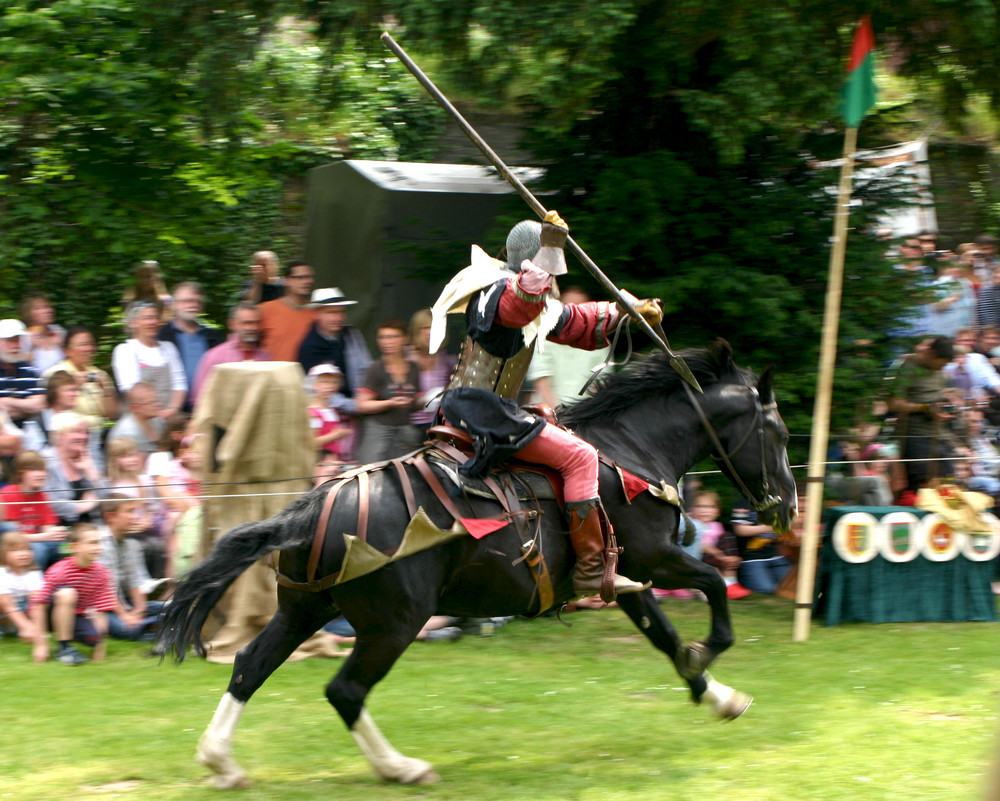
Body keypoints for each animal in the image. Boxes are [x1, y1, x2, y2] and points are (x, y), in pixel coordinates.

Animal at [158, 340, 796, 784]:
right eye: (779, 432)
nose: (788, 506)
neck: (630, 449)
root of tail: (310, 510)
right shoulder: (657, 560)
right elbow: (713, 585)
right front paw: (707, 652)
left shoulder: (628, 576)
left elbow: (664, 636)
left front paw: (715, 694)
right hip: (393, 623)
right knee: (345, 690)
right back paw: (402, 768)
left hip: (304, 610)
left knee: (250, 665)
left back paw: (221, 762)